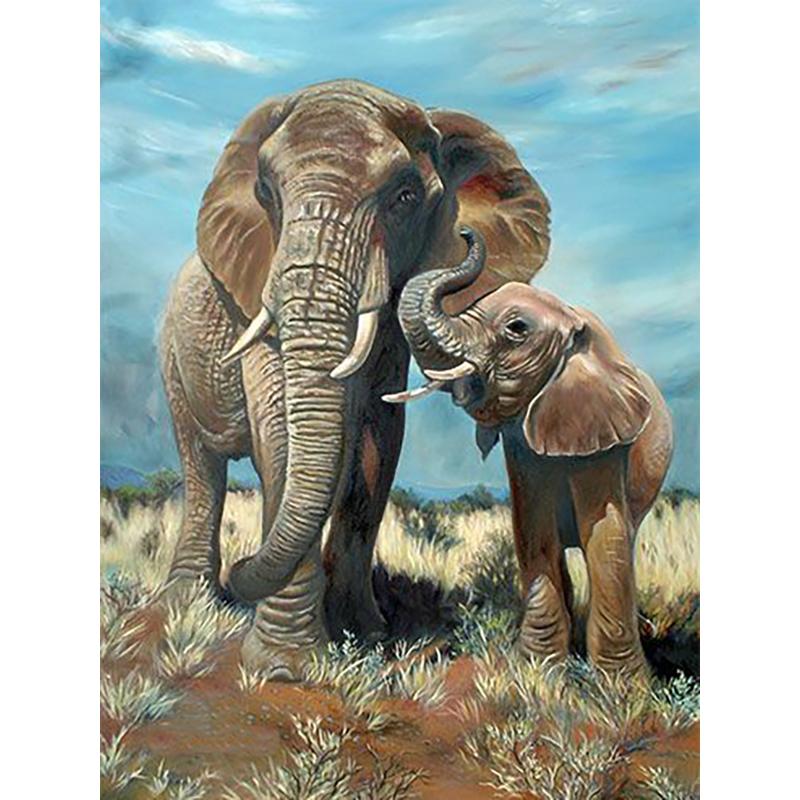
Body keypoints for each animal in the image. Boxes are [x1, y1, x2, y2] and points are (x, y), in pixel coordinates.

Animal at [159, 80, 552, 679]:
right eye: (266, 191)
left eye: (405, 197)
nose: (243, 569)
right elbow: (281, 437)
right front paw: (285, 667)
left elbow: (378, 438)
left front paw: (365, 633)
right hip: (173, 357)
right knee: (201, 465)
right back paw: (188, 601)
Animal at [386, 228, 673, 676]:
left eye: (516, 328)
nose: (465, 233)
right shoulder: (523, 447)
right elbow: (533, 529)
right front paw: (538, 670)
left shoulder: (606, 433)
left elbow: (605, 535)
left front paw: (620, 685)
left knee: (625, 537)